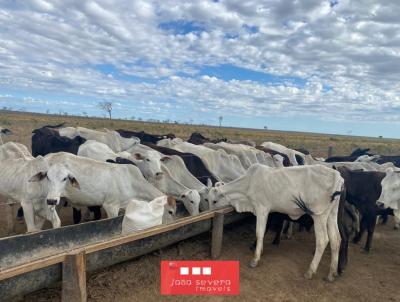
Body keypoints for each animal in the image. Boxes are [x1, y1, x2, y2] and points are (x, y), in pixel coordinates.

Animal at [208, 164, 342, 282]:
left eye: (214, 201)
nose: (210, 215)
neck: (248, 183)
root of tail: (337, 175)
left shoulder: (262, 209)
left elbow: (259, 233)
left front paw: (255, 259)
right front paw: (260, 251)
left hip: (319, 216)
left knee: (323, 240)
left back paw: (310, 271)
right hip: (332, 214)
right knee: (336, 239)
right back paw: (332, 273)